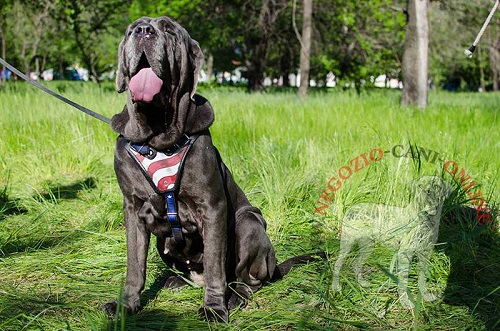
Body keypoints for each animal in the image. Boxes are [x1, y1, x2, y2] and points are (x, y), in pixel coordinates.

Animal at [99, 16, 322, 322]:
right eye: (133, 28)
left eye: (169, 30)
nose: (144, 32)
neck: (157, 138)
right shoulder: (133, 209)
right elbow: (135, 265)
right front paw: (126, 304)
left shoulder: (212, 207)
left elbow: (216, 267)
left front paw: (214, 308)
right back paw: (176, 280)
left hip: (248, 222)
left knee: (246, 280)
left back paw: (235, 296)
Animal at [330, 176, 452, 308]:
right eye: (419, 186)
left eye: (437, 186)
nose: (426, 193)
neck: (427, 219)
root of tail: (352, 207)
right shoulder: (405, 254)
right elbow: (404, 280)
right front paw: (405, 303)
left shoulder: (425, 254)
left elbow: (422, 277)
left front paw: (425, 296)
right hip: (347, 244)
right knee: (338, 264)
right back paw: (336, 288)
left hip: (368, 246)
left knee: (356, 263)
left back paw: (362, 283)